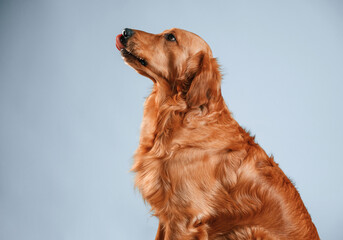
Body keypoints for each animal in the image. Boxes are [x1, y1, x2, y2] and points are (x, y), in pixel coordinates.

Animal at [115, 28, 320, 240]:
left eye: (171, 37)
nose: (125, 31)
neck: (177, 114)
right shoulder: (167, 213)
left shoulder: (184, 218)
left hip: (249, 230)